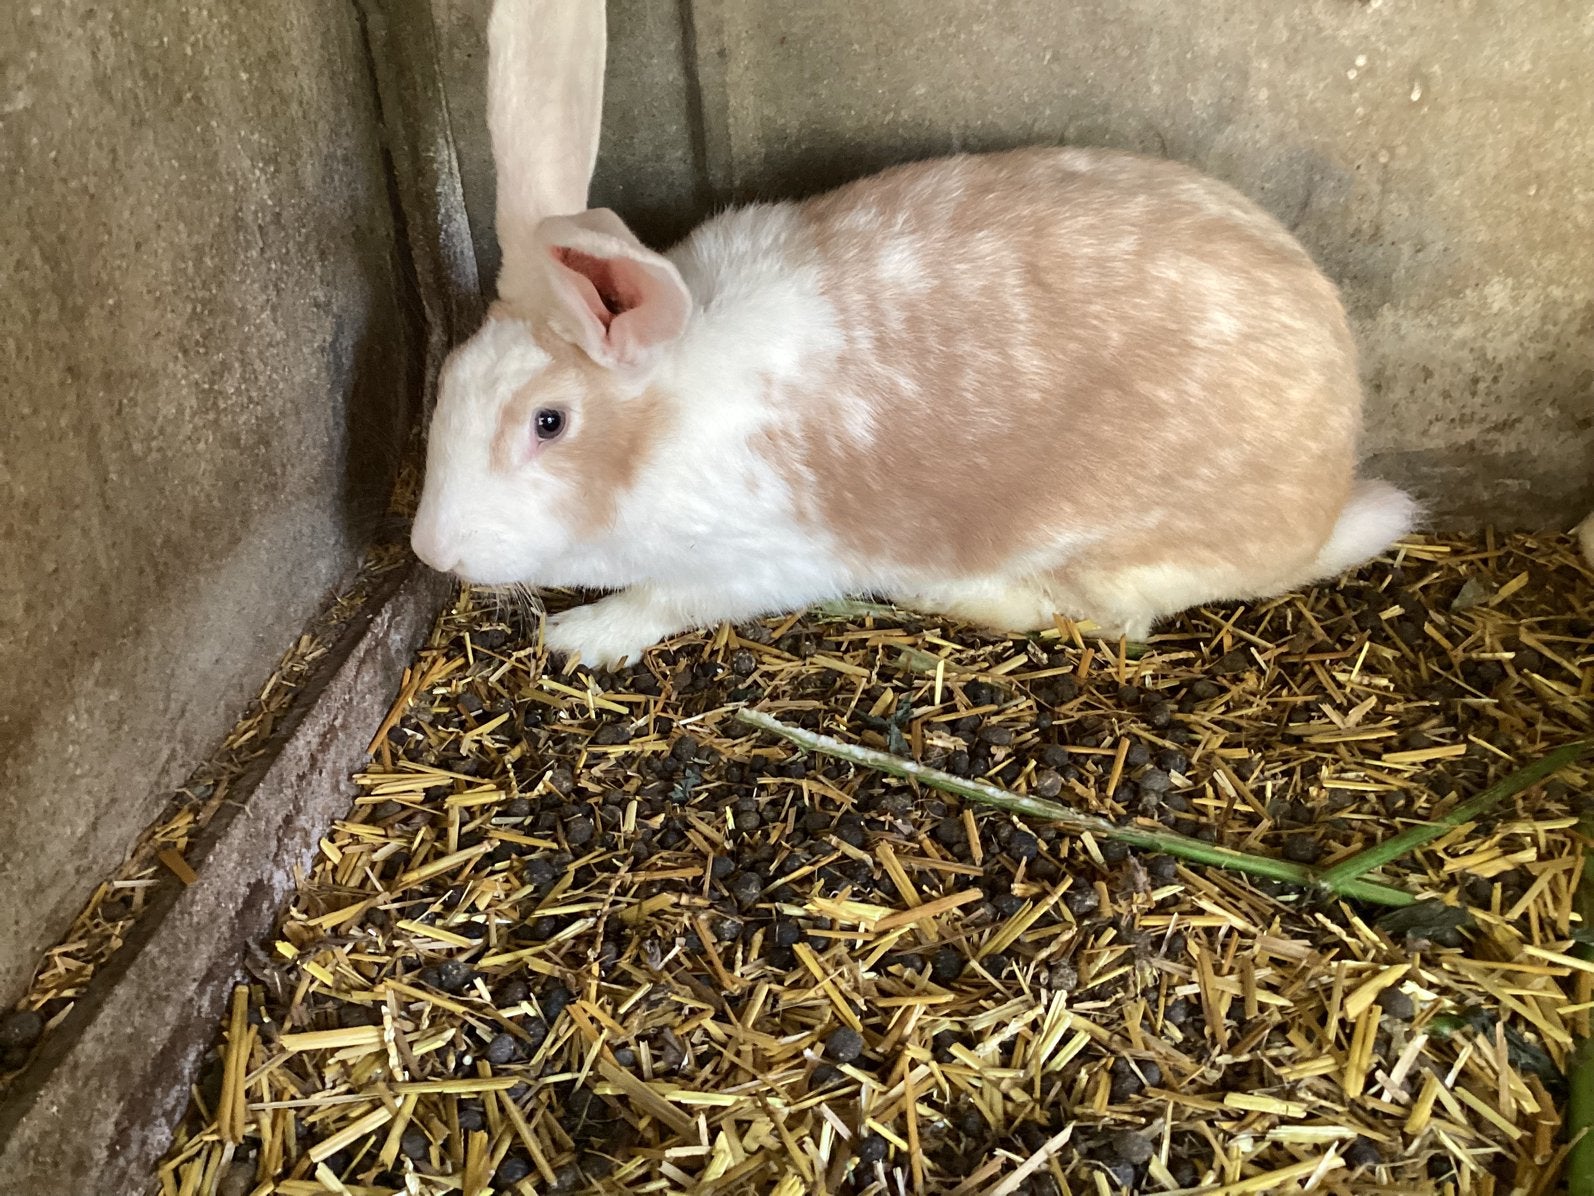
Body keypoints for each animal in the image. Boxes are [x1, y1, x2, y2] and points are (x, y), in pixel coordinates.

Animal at [409, 0, 1418, 668]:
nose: (430, 553)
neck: (668, 411)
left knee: (1105, 618)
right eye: (448, 381)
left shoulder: (758, 560)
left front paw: (578, 635)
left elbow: (664, 599)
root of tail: (1326, 503)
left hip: (1122, 551)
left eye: (549, 423)